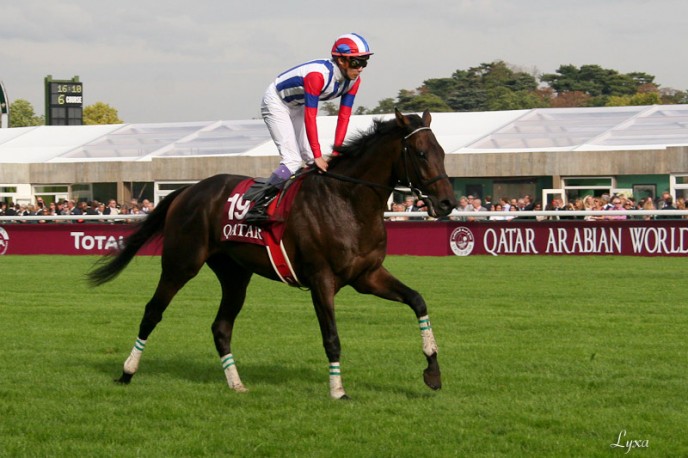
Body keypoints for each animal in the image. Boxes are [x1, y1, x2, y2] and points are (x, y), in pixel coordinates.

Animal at [88, 107, 460, 398]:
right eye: (421, 154)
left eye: (442, 152)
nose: (447, 203)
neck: (348, 203)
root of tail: (186, 191)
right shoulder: (321, 279)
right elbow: (332, 337)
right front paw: (338, 391)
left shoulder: (367, 276)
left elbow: (417, 301)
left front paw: (432, 372)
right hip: (181, 262)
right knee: (153, 311)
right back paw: (127, 371)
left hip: (235, 275)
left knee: (221, 327)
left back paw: (236, 384)